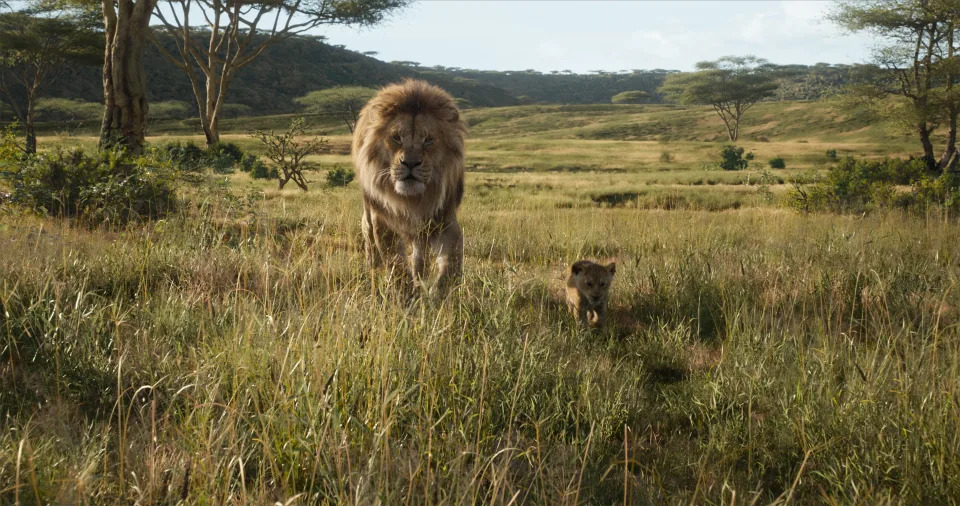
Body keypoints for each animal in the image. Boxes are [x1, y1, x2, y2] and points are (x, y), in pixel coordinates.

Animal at [354, 78, 470, 284]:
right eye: (396, 138)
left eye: (428, 140)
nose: (410, 163)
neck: (413, 200)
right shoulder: (383, 220)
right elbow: (396, 264)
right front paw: (406, 290)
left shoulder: (445, 220)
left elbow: (451, 267)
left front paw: (434, 291)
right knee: (369, 238)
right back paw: (372, 270)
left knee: (418, 253)